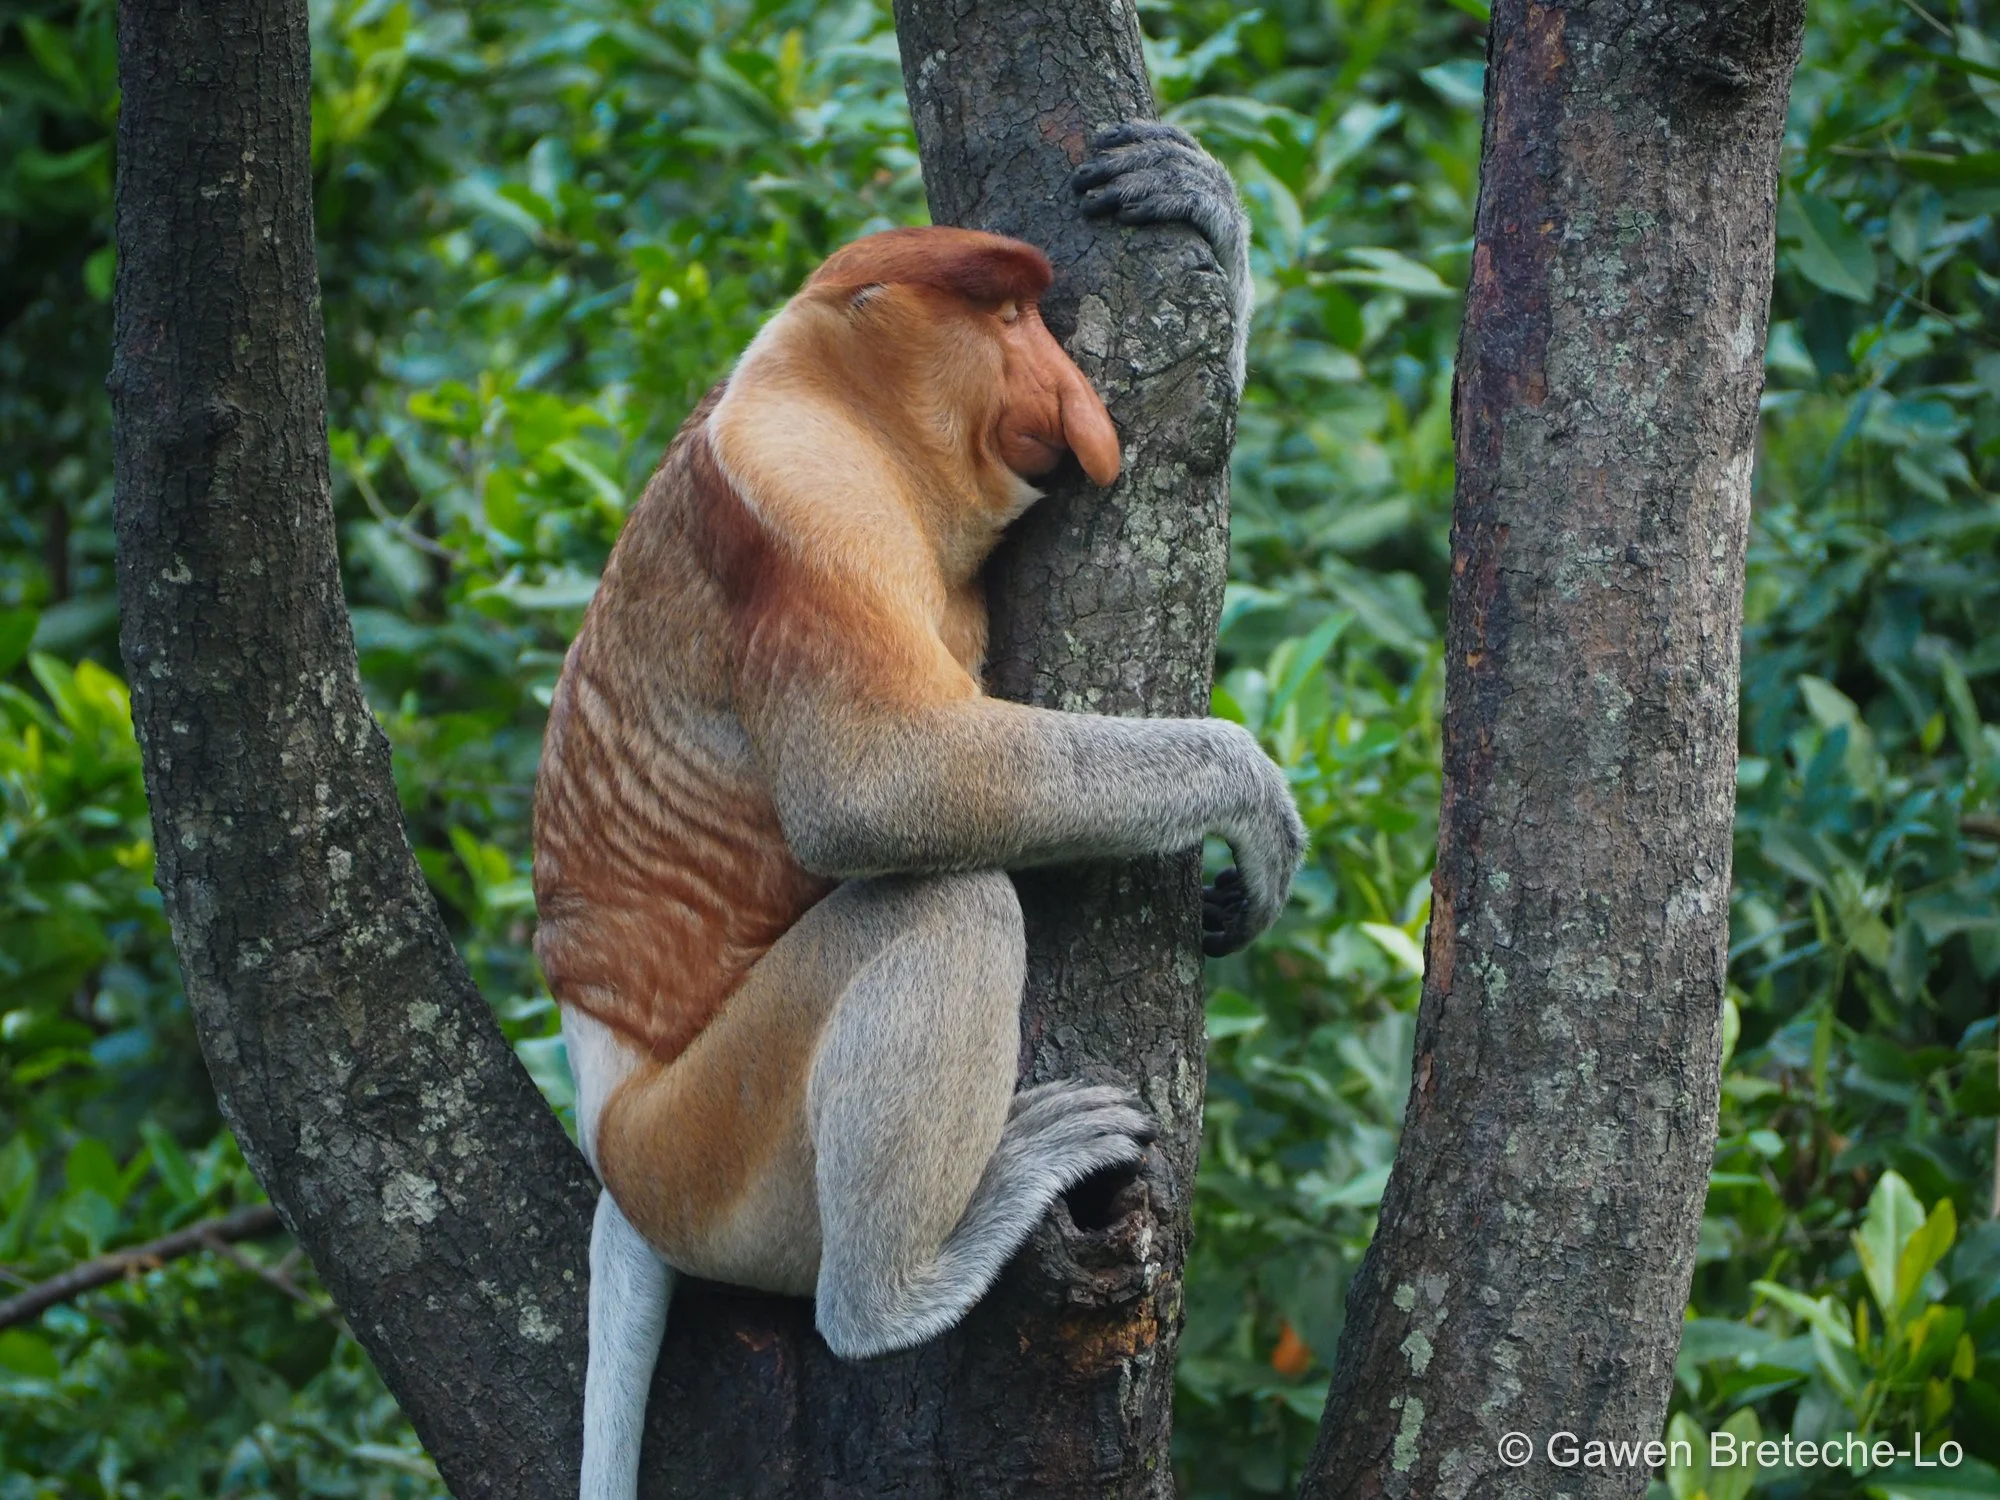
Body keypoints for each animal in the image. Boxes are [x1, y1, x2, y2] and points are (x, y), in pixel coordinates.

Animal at [529, 121, 1295, 1499]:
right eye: (1003, 316)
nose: (1072, 398)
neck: (825, 386)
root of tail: (607, 1102)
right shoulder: (807, 493)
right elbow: (879, 790)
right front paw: (1253, 801)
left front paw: (1195, 199)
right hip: (712, 1154)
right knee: (942, 897)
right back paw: (908, 1286)